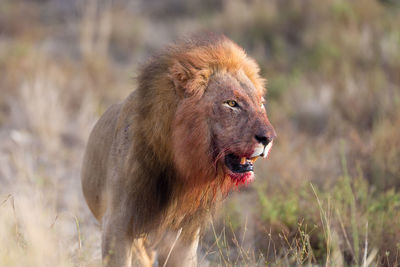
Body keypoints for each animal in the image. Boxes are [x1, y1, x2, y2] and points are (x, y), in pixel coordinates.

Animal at [80, 34, 276, 267]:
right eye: (231, 103)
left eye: (261, 104)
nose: (268, 138)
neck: (177, 164)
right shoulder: (116, 225)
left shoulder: (183, 234)